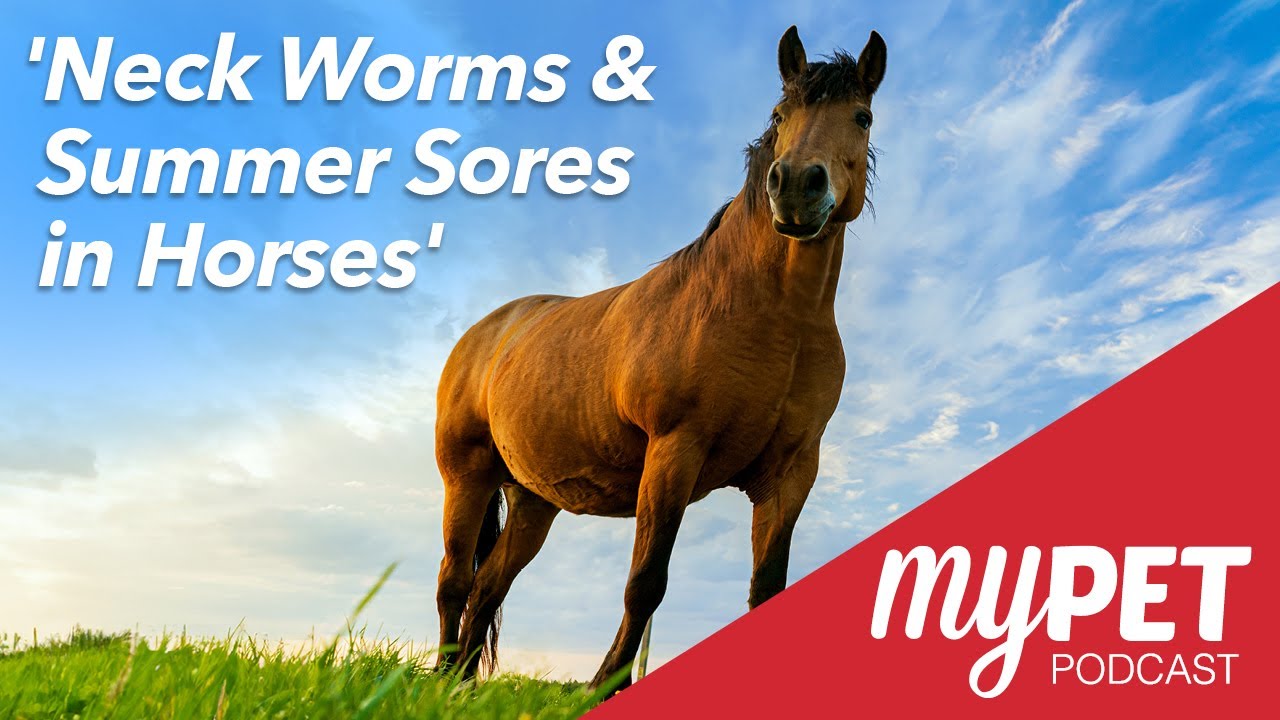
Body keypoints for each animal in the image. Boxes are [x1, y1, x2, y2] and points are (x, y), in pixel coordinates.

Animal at [433, 25, 886, 690]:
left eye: (862, 116)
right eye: (781, 114)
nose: (798, 187)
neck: (773, 317)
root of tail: (487, 331)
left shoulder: (791, 473)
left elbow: (765, 590)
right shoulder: (675, 451)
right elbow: (645, 583)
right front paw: (603, 685)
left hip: (534, 501)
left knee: (489, 587)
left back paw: (458, 688)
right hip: (466, 477)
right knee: (454, 583)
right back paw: (436, 678)